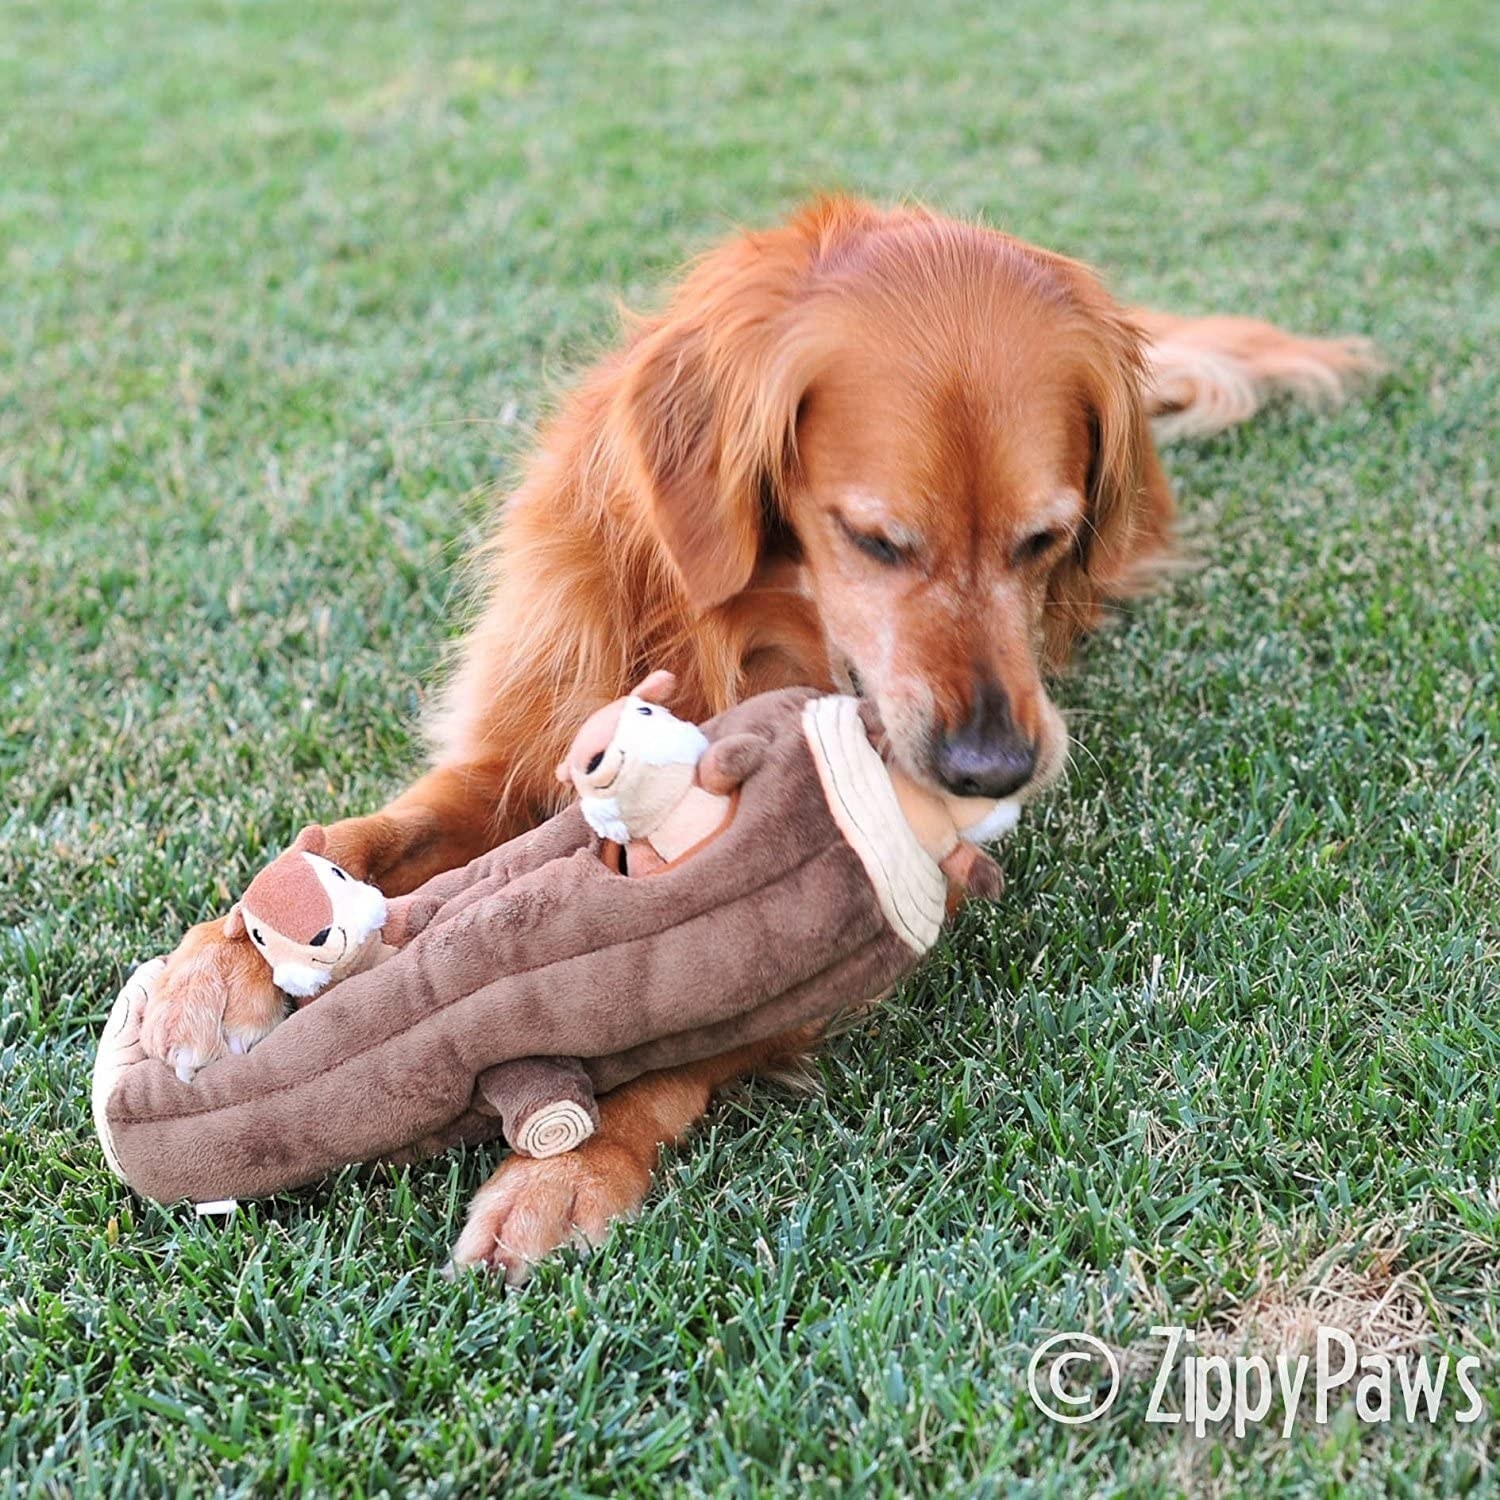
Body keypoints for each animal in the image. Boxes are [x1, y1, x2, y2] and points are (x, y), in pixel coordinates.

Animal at [141, 196, 1374, 1278]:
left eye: (1043, 541)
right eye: (875, 541)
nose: (992, 771)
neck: (742, 627)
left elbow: (691, 1028)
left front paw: (570, 1168)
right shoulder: (513, 746)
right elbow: (361, 836)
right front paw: (213, 967)